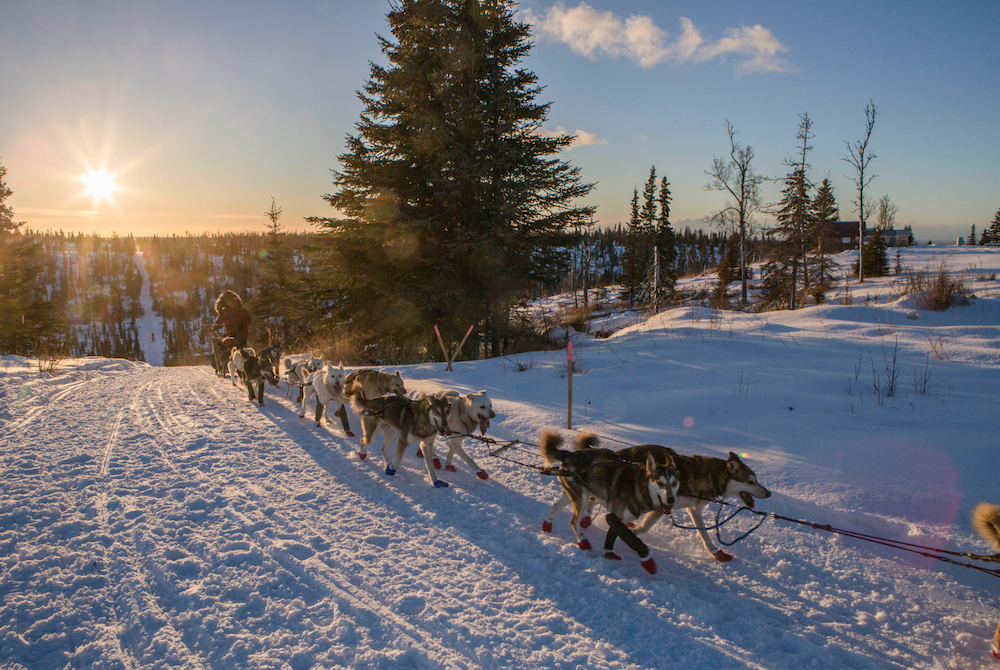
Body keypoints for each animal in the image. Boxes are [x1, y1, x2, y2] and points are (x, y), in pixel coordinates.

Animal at [540, 430, 680, 576]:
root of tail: (569, 454)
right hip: (581, 497)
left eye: (674, 483)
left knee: (556, 507)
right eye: (660, 483)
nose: (671, 499)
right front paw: (648, 562)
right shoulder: (613, 517)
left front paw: (609, 552)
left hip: (576, 494)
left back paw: (547, 525)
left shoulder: (619, 518)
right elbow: (633, 540)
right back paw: (583, 542)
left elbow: (612, 535)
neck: (639, 485)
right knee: (573, 522)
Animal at [612, 448, 768, 564]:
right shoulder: (662, 506)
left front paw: (716, 552)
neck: (711, 477)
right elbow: (644, 526)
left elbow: (705, 535)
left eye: (756, 479)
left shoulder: (694, 509)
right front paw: (633, 534)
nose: (769, 493)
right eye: (750, 481)